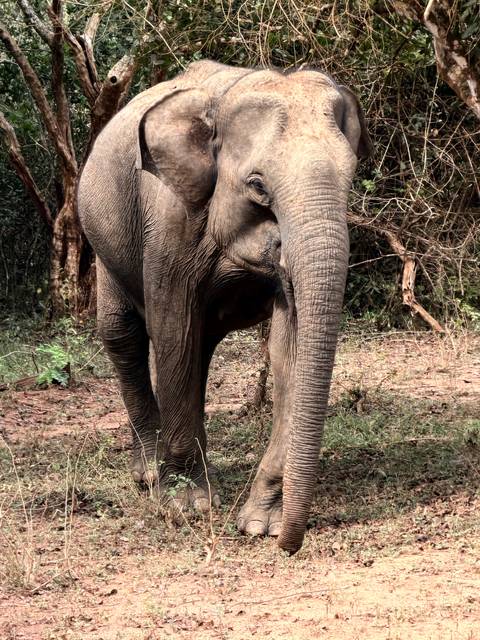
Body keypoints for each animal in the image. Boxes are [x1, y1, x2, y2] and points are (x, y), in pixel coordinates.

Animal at [78, 60, 371, 554]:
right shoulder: (169, 219)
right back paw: (149, 474)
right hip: (103, 236)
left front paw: (261, 523)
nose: (288, 546)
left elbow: (289, 349)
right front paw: (187, 505)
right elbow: (173, 326)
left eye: (350, 176)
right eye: (257, 185)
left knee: (201, 349)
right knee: (124, 334)